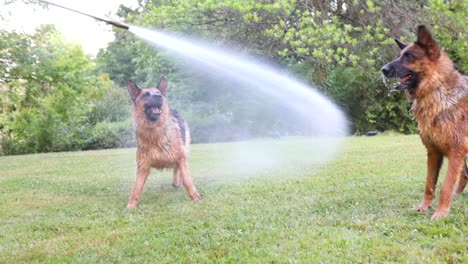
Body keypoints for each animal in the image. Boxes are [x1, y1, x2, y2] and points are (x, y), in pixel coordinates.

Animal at [125, 75, 200, 208]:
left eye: (158, 93)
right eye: (146, 94)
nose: (160, 97)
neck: (154, 132)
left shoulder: (181, 156)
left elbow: (186, 178)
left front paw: (194, 195)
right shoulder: (143, 166)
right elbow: (136, 187)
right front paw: (131, 205)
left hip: (184, 150)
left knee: (178, 169)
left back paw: (176, 181)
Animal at [382, 25, 466, 220]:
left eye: (408, 56)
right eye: (399, 55)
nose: (383, 69)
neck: (437, 91)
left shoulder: (456, 152)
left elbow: (445, 187)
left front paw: (441, 213)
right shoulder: (433, 152)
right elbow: (429, 184)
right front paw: (424, 206)